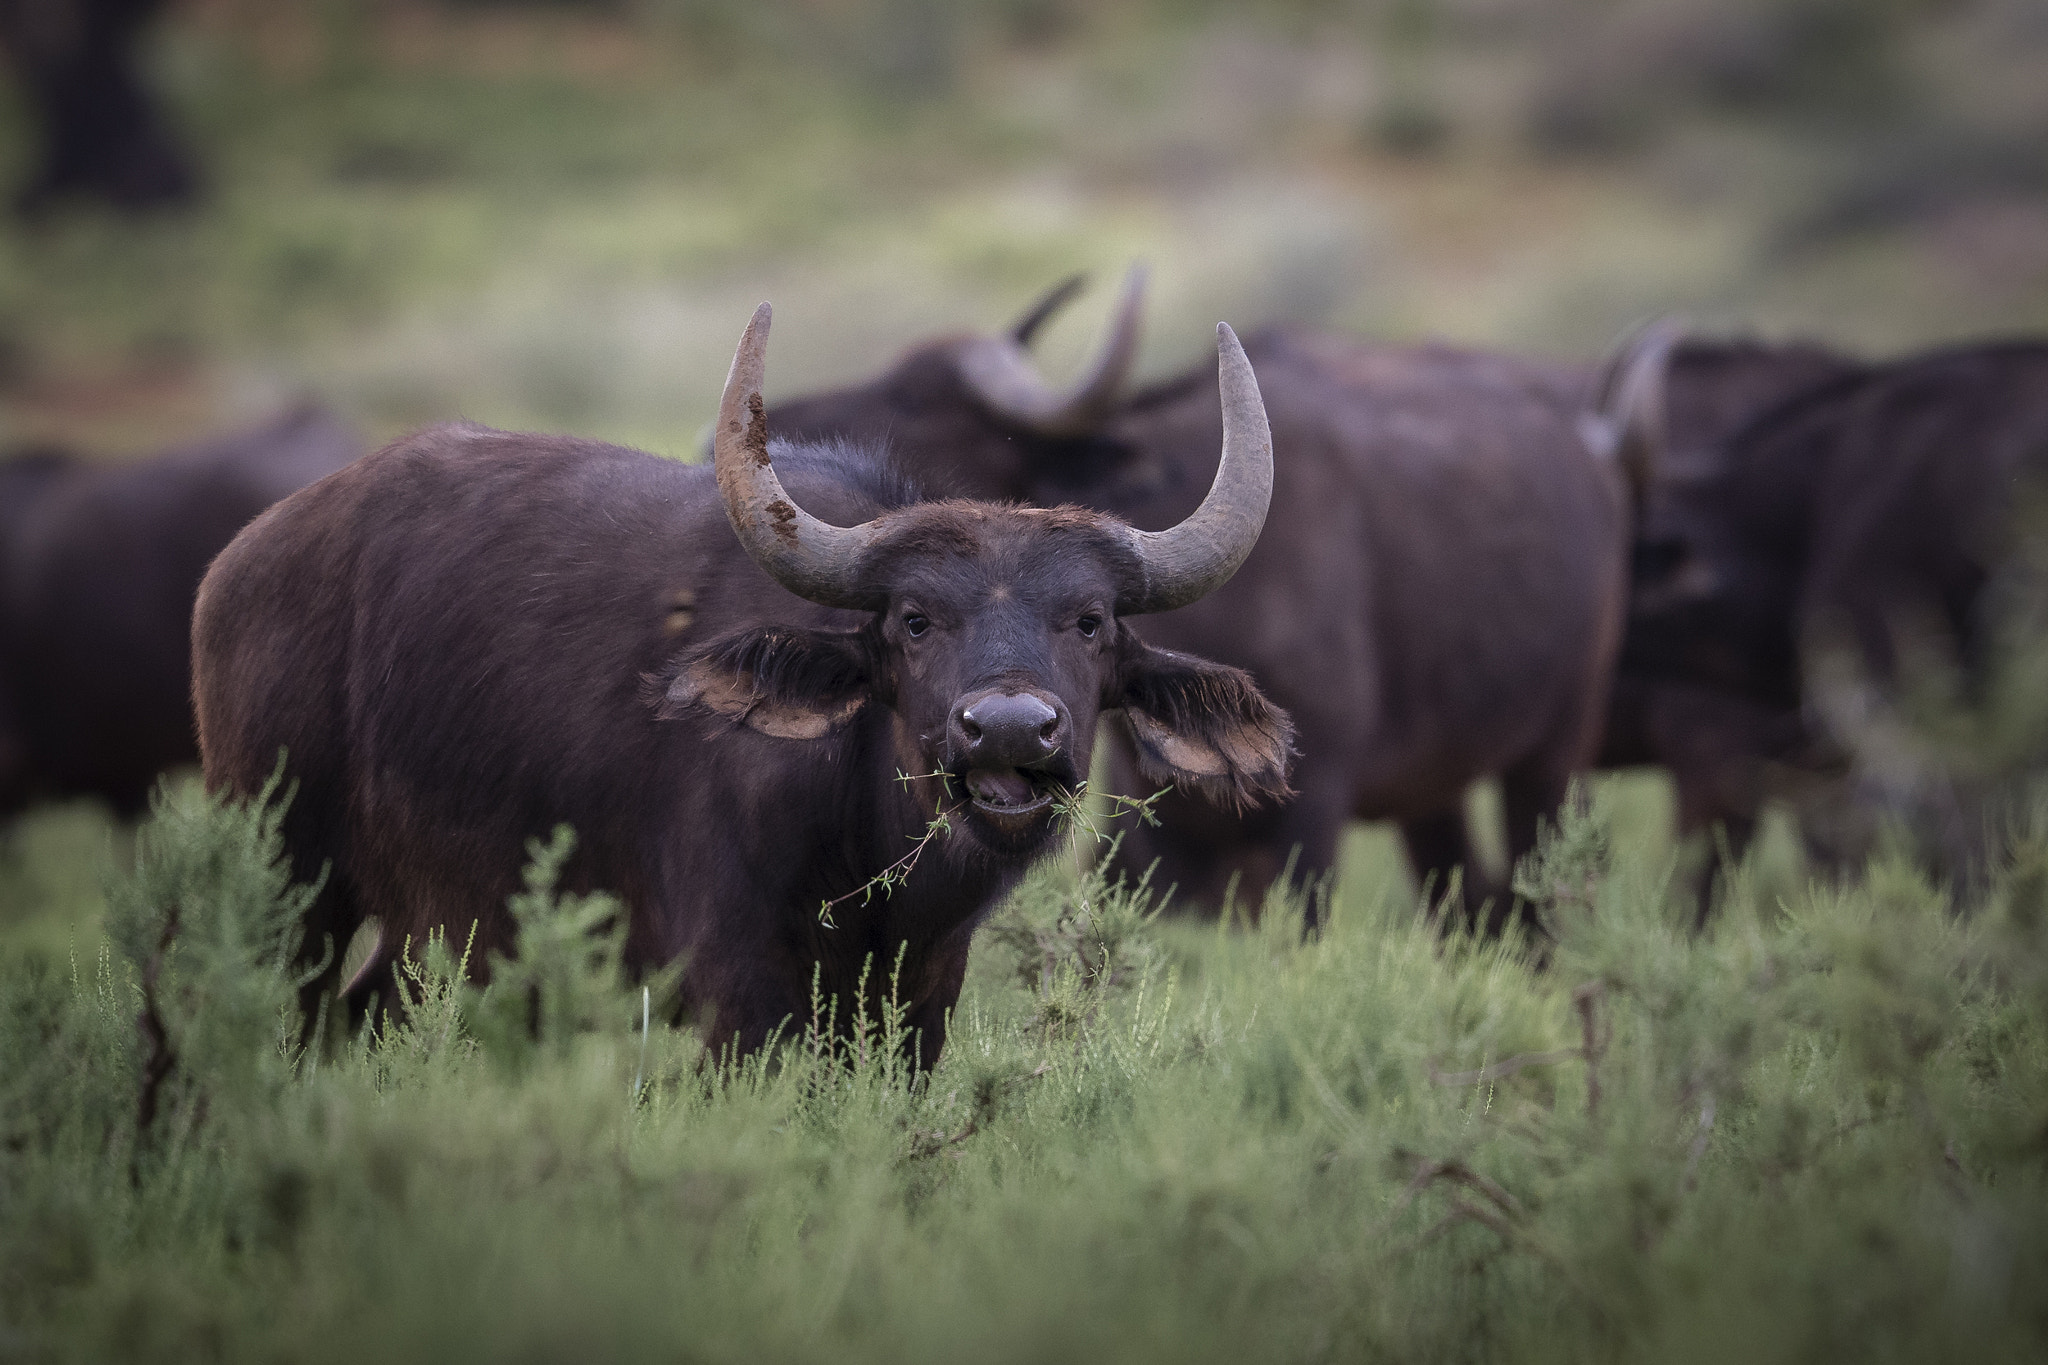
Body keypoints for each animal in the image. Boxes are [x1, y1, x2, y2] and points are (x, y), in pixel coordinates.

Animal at [188, 309, 1277, 1064]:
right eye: (913, 619)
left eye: (1090, 622)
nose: (1008, 729)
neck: (866, 857)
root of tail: (238, 568)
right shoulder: (733, 993)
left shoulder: (919, 1000)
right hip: (288, 879)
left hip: (435, 931)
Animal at [770, 270, 1630, 925]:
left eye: (913, 399)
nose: (780, 425)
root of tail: (1590, 458)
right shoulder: (1141, 813)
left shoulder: (1312, 809)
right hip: (1435, 791)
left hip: (1553, 756)